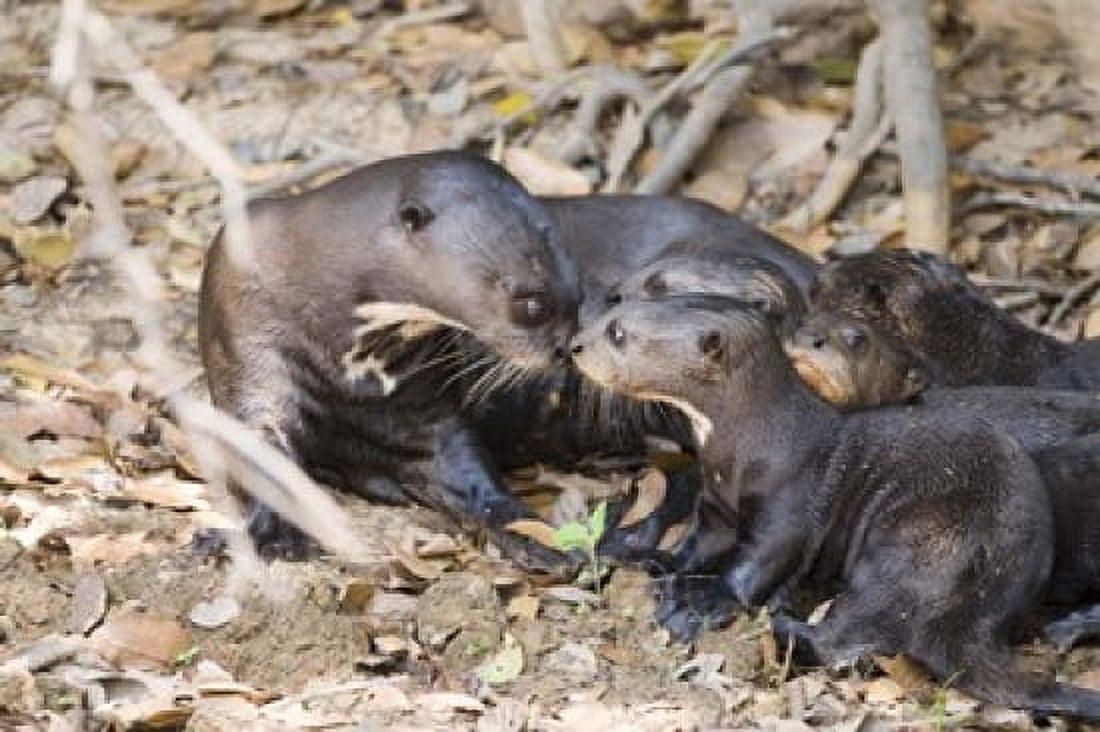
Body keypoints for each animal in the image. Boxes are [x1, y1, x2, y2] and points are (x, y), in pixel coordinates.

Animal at [199, 151, 581, 568]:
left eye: (578, 294)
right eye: (531, 304)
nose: (567, 348)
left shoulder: (423, 410)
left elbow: (469, 473)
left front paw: (540, 537)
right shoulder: (248, 343)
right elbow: (261, 453)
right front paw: (275, 535)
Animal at [570, 295, 1100, 719]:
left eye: (618, 333)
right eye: (613, 310)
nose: (574, 346)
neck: (749, 449)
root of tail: (979, 605)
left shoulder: (788, 504)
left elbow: (757, 560)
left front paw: (699, 601)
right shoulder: (716, 503)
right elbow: (699, 542)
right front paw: (657, 560)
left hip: (918, 543)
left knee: (850, 631)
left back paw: (784, 626)